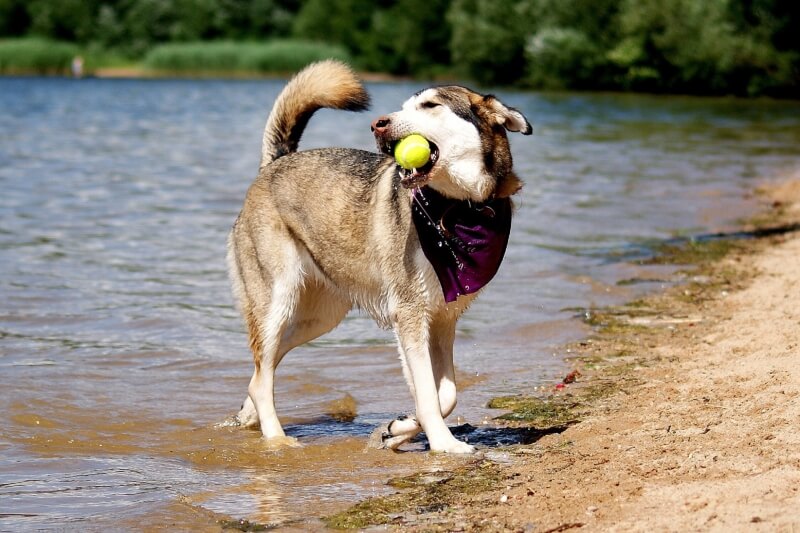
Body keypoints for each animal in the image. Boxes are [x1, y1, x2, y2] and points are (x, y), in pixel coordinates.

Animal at [228, 61, 532, 454]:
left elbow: (445, 394)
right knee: (263, 375)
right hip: (277, 301)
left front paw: (398, 429)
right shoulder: (409, 314)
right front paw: (444, 444)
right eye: (404, 106)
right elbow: (429, 395)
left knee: (261, 371)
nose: (379, 124)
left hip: (318, 318)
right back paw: (276, 438)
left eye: (430, 105)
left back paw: (249, 415)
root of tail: (275, 164)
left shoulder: (441, 320)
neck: (457, 210)